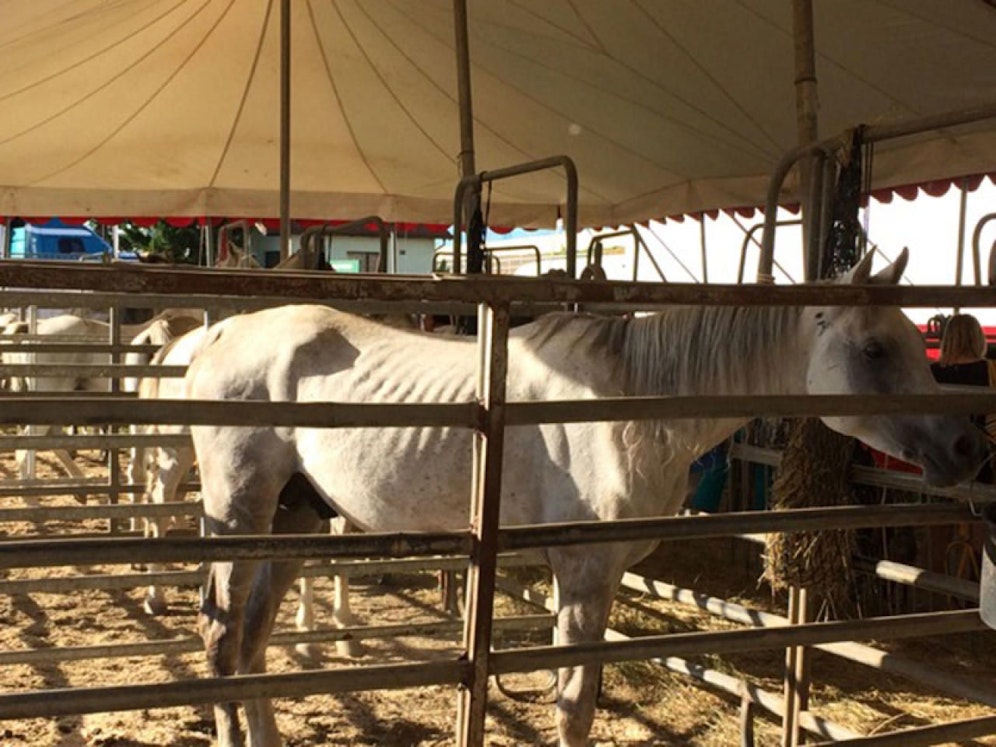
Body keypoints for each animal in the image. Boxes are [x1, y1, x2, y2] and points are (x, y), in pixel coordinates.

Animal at [185, 250, 987, 747]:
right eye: (875, 350)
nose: (969, 448)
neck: (629, 404)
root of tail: (214, 336)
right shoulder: (584, 573)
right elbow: (574, 707)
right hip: (240, 512)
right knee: (222, 640)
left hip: (292, 519)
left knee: (249, 643)